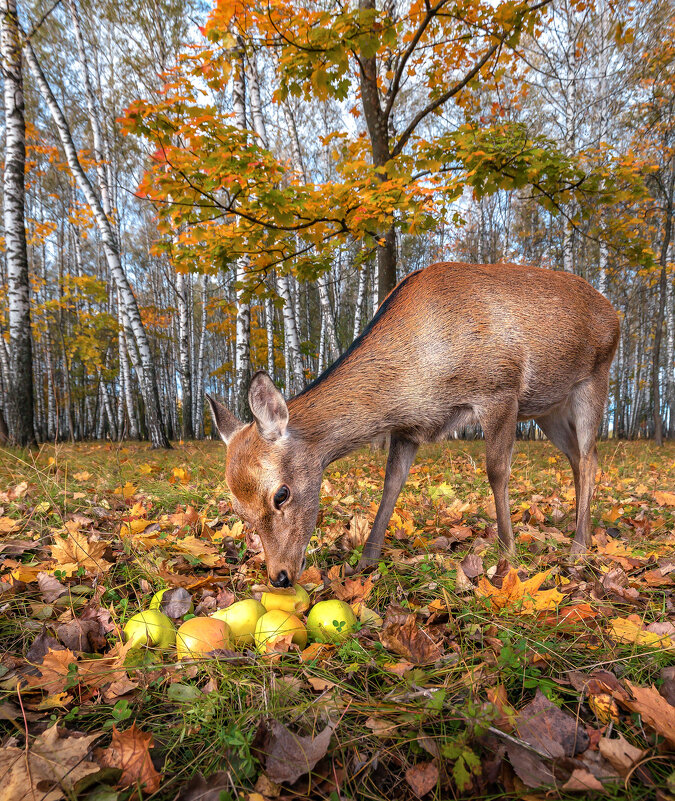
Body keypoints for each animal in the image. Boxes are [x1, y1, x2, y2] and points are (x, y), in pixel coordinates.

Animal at [207, 262, 624, 588]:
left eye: (281, 494)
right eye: (239, 512)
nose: (279, 576)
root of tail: (614, 312)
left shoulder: (500, 389)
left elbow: (497, 472)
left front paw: (508, 556)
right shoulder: (409, 428)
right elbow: (391, 484)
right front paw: (366, 561)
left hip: (595, 378)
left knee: (589, 457)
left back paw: (579, 547)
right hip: (547, 408)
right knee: (579, 458)